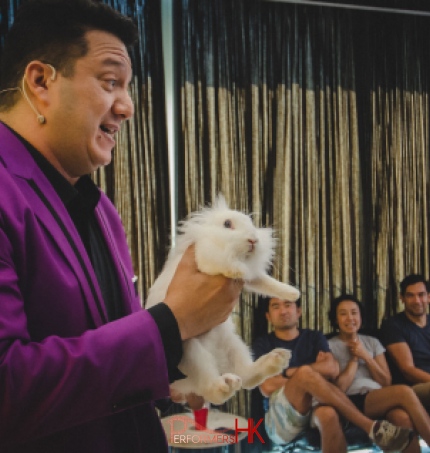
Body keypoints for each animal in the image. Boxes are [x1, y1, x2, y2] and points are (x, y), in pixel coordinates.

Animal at [144, 193, 298, 402]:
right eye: (227, 224)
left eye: (251, 223)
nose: (253, 240)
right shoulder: (205, 259)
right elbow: (223, 262)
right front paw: (237, 269)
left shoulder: (254, 278)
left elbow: (266, 283)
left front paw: (293, 293)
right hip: (189, 351)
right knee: (211, 389)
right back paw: (225, 385)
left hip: (233, 344)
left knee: (246, 376)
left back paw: (275, 360)